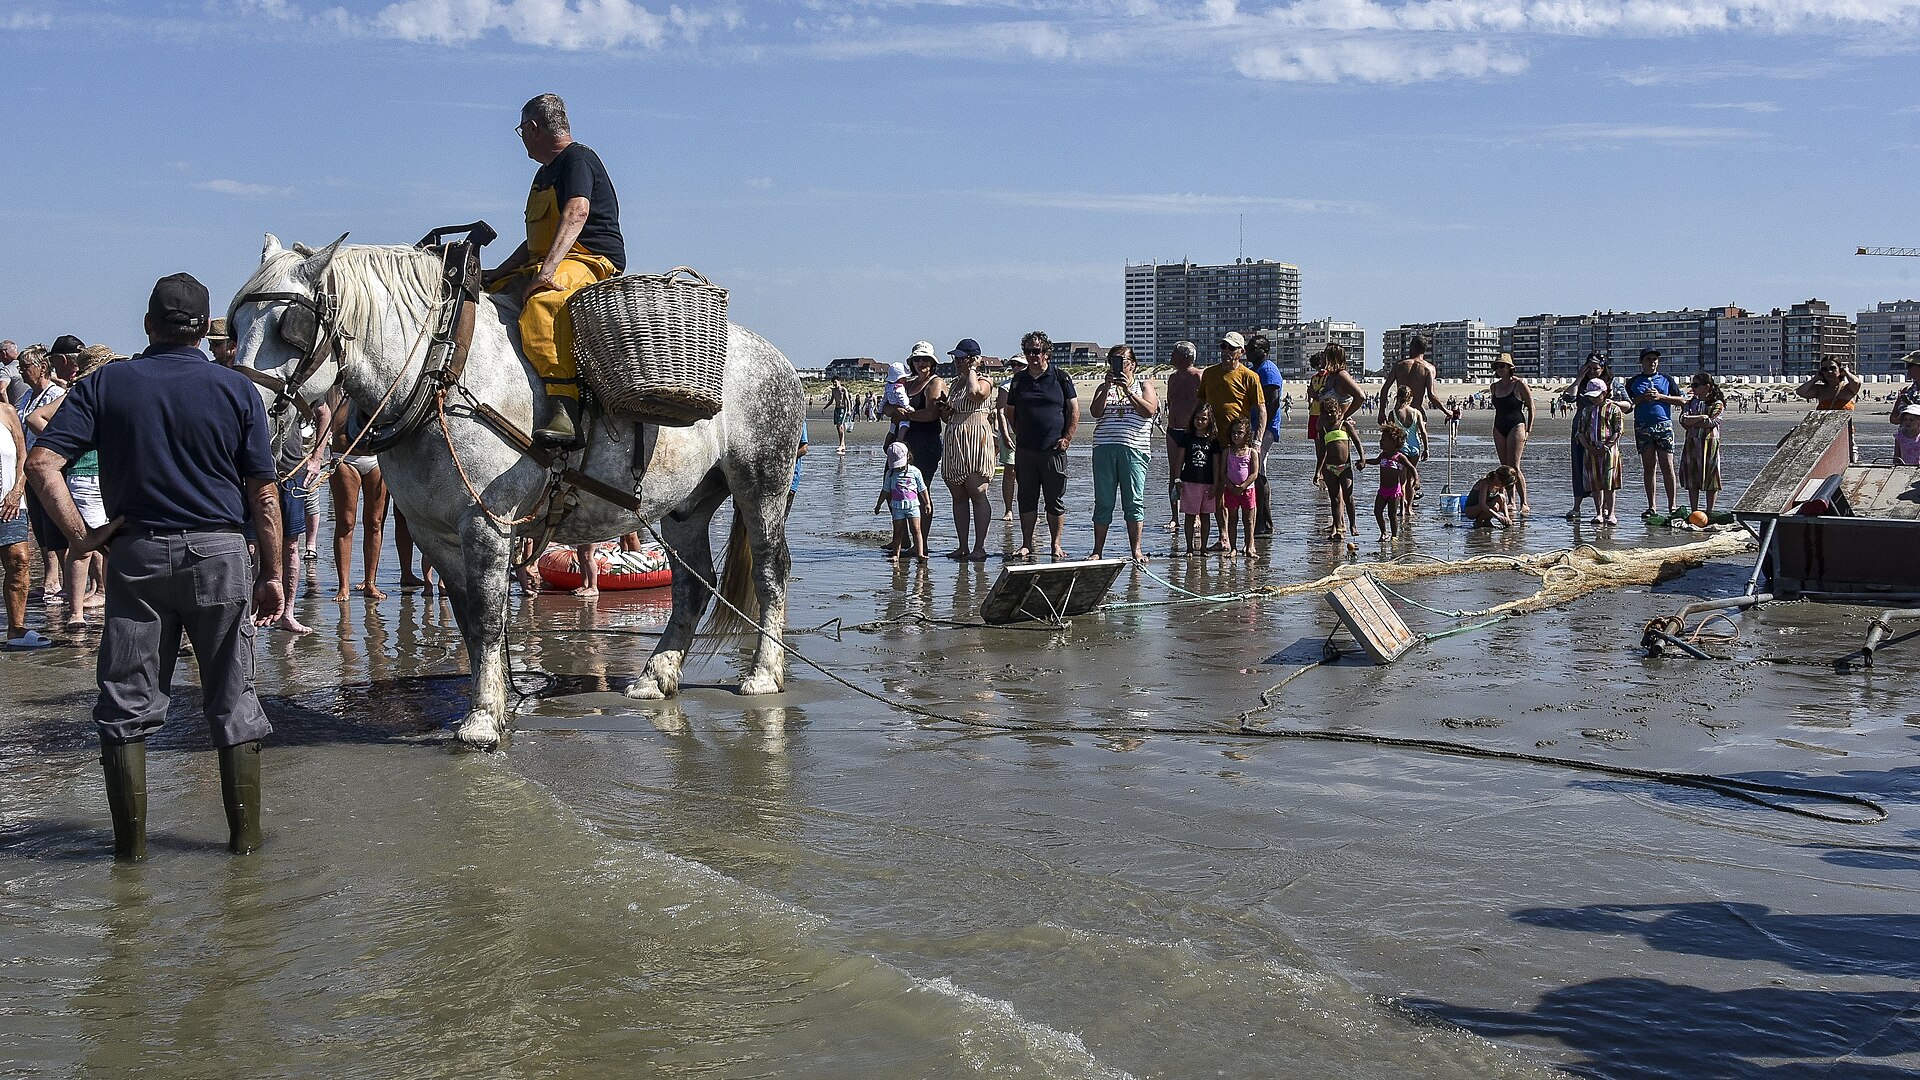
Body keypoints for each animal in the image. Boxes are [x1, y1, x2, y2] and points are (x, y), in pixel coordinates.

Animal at [229, 234, 805, 748]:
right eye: (234, 326)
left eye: (291, 326)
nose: (247, 413)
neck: (437, 374)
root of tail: (779, 360)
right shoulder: (434, 532)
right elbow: (469, 619)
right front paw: (501, 699)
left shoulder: (488, 520)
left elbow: (487, 618)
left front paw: (483, 719)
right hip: (686, 506)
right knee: (692, 584)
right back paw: (657, 674)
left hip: (763, 481)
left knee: (770, 570)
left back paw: (763, 672)